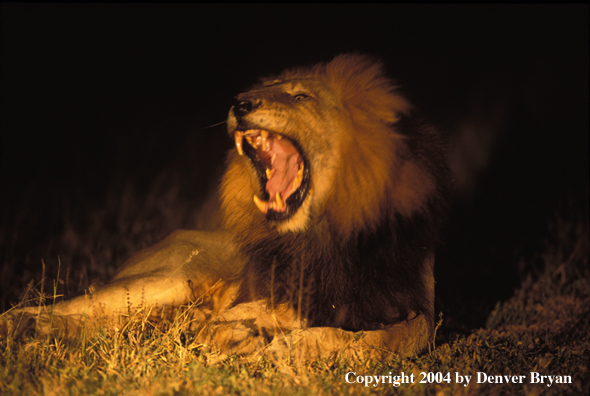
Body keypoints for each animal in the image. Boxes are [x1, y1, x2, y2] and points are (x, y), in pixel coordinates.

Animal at [1, 55, 454, 362]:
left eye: (300, 96)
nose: (240, 103)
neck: (325, 232)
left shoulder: (416, 302)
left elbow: (395, 338)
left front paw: (279, 343)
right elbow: (258, 314)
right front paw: (255, 337)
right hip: (168, 281)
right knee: (45, 306)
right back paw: (26, 328)